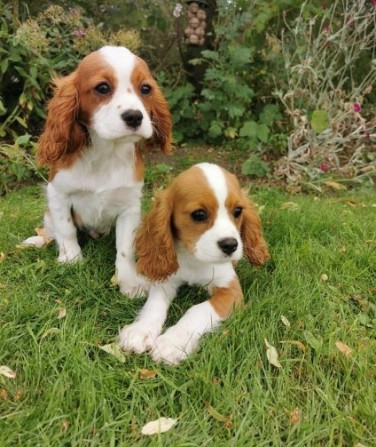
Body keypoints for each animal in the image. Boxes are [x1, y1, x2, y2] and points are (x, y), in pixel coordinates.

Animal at [119, 163, 268, 366]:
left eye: (238, 211)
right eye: (199, 215)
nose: (231, 245)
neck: (194, 258)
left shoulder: (231, 291)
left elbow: (197, 310)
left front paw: (172, 342)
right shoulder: (166, 280)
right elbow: (153, 305)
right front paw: (140, 330)